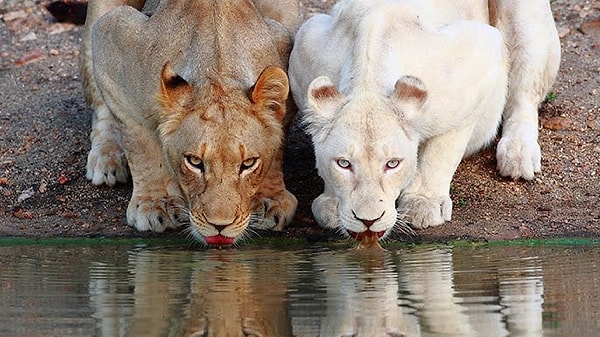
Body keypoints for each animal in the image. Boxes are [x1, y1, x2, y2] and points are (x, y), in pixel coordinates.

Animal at [288, 0, 560, 243]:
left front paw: (423, 203)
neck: (367, 79)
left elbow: (442, 150)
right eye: (344, 163)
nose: (368, 221)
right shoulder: (304, 46)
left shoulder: (479, 54)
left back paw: (518, 156)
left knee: (524, 94)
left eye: (392, 164)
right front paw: (331, 203)